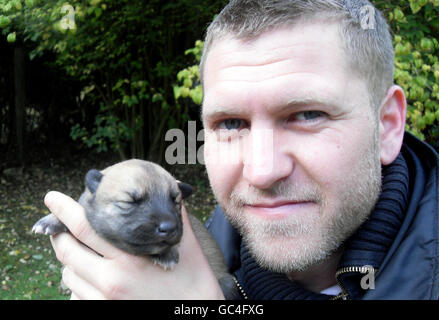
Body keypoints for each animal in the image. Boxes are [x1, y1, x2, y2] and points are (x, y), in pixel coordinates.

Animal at [32, 160, 239, 300]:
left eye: (176, 202)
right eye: (130, 201)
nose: (169, 228)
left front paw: (168, 253)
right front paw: (51, 220)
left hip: (228, 283)